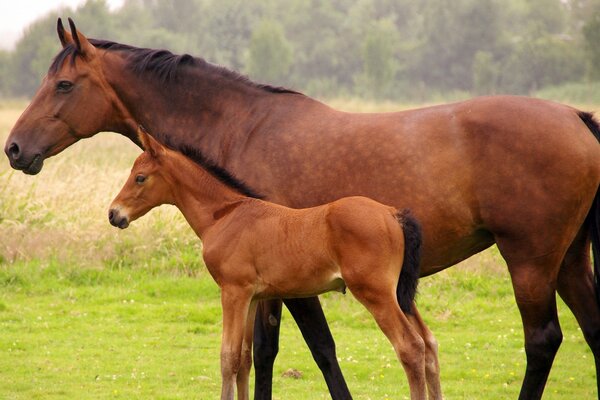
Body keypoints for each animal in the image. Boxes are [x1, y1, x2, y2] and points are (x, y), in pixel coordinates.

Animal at [106, 126, 436, 400]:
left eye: (140, 177)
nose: (114, 213)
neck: (225, 215)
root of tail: (393, 213)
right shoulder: (252, 297)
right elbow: (244, 358)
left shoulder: (233, 292)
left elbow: (228, 357)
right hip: (400, 295)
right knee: (429, 344)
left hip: (375, 293)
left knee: (410, 347)